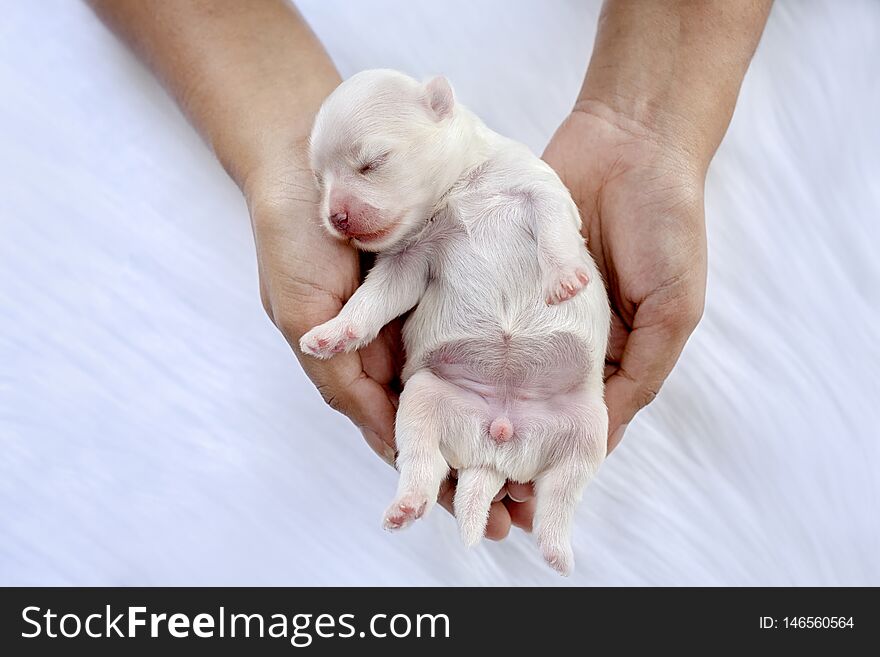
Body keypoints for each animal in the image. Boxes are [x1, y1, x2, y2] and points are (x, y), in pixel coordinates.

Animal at [300, 68, 608, 576]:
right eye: (319, 179)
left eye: (371, 163)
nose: (336, 218)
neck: (458, 190)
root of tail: (498, 444)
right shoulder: (407, 259)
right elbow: (374, 299)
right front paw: (335, 333)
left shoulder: (539, 188)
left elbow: (555, 230)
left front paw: (564, 277)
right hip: (426, 397)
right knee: (423, 461)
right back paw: (407, 505)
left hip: (587, 426)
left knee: (560, 494)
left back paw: (556, 552)